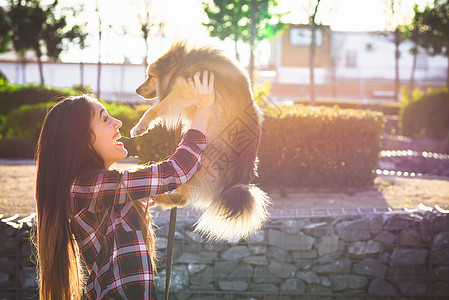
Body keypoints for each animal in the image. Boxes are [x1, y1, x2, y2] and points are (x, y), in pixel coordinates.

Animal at [130, 42, 270, 240]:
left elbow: (153, 109)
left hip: (198, 163)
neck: (183, 64)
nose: (136, 90)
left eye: (150, 76)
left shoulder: (184, 91)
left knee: (182, 196)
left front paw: (140, 127)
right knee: (182, 199)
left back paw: (159, 197)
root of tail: (238, 181)